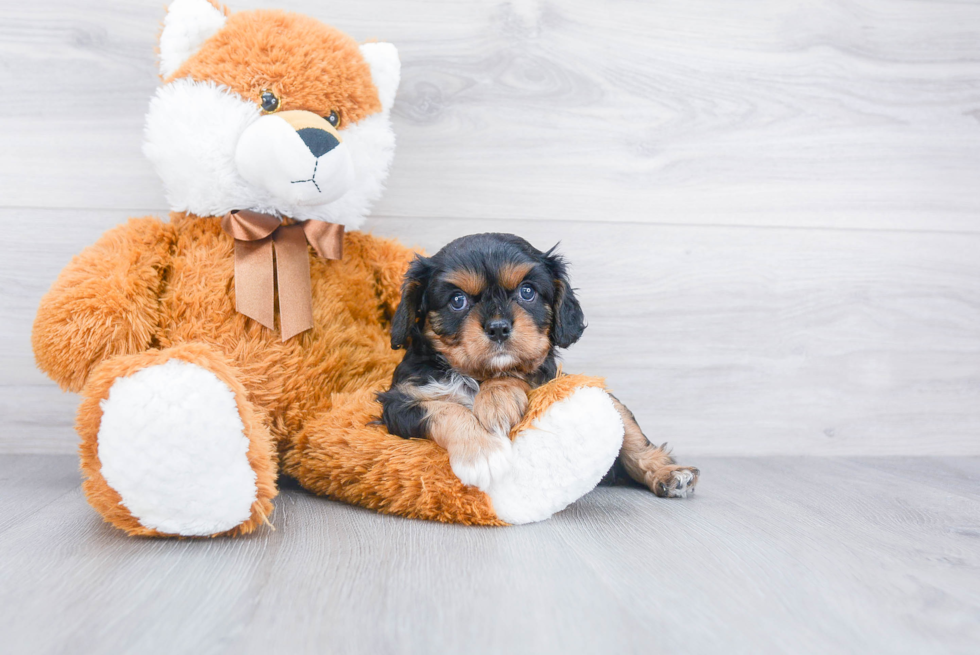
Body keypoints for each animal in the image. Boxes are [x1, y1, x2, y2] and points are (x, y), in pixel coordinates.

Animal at [378, 236, 696, 498]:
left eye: (527, 292)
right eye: (458, 300)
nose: (498, 328)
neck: (477, 376)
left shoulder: (549, 376)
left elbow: (520, 371)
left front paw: (497, 399)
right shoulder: (399, 400)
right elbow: (445, 409)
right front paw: (481, 453)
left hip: (611, 404)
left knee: (635, 442)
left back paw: (671, 474)